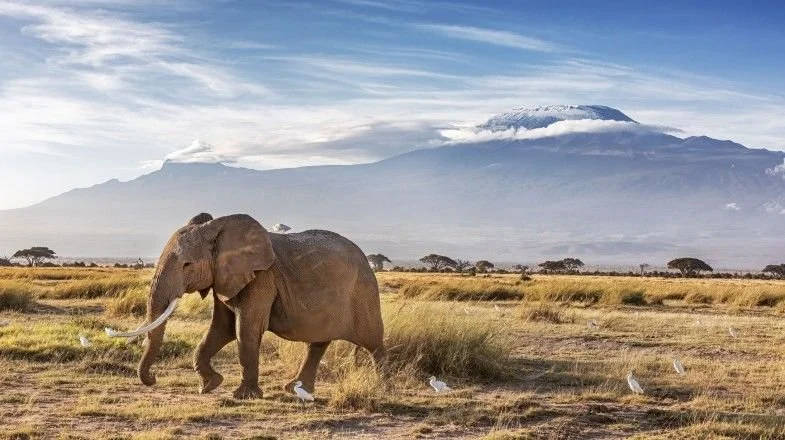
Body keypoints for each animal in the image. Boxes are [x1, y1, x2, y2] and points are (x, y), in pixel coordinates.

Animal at [107, 213, 386, 399]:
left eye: (187, 265)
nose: (154, 378)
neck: (218, 230)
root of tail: (366, 258)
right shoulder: (225, 279)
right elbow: (222, 329)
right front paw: (209, 385)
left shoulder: (261, 279)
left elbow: (246, 330)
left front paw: (243, 396)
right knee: (318, 343)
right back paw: (295, 389)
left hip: (363, 293)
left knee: (373, 342)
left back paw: (382, 386)